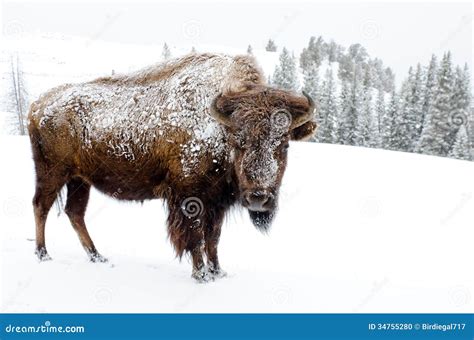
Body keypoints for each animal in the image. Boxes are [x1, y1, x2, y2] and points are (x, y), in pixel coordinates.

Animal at [30, 53, 318, 282]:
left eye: (284, 145)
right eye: (239, 142)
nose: (259, 197)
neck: (219, 126)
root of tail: (37, 105)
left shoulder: (217, 203)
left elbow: (213, 239)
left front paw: (218, 272)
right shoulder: (190, 198)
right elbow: (195, 237)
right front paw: (201, 275)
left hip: (80, 180)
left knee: (75, 213)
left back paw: (97, 256)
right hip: (52, 173)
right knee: (41, 206)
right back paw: (43, 254)